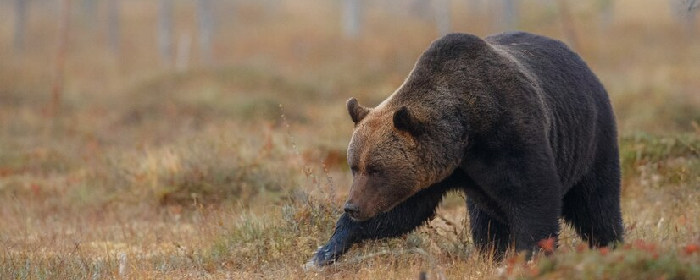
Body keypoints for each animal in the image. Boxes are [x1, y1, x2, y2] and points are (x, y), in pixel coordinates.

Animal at [308, 31, 624, 266]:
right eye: (354, 166)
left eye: (376, 169)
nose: (352, 206)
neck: (465, 136)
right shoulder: (437, 171)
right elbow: (402, 212)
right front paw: (324, 251)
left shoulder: (510, 136)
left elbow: (534, 197)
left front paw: (532, 256)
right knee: (485, 219)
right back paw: (490, 252)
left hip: (592, 138)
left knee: (597, 204)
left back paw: (613, 245)